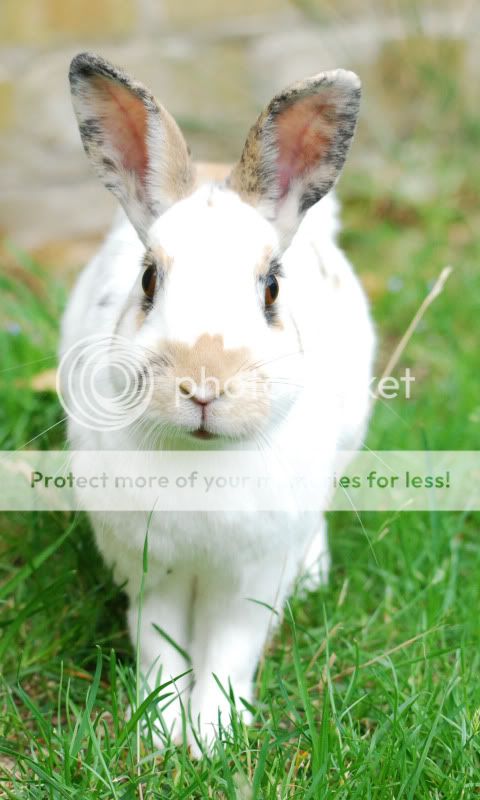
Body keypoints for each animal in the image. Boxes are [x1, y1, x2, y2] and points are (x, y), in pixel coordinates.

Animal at [59, 51, 376, 756]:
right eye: (148, 280)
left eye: (272, 289)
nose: (203, 387)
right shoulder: (152, 569)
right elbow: (161, 645)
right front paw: (160, 732)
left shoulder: (250, 576)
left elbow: (229, 648)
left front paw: (213, 736)